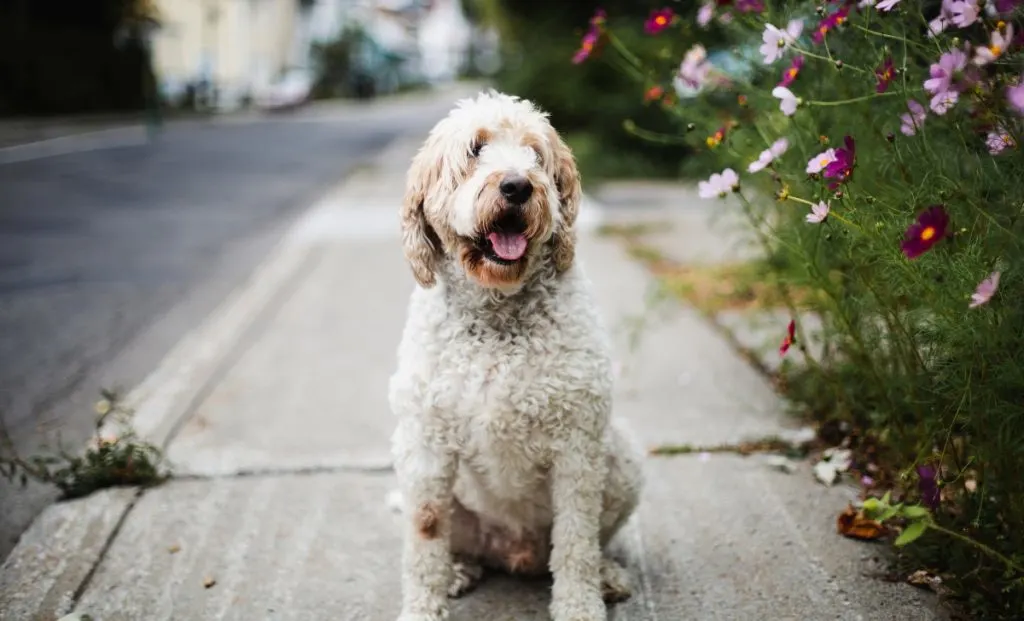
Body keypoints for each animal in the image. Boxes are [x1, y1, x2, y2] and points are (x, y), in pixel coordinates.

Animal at [387, 91, 643, 621]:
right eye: (474, 149)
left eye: (535, 154)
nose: (517, 185)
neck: (497, 313)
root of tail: (515, 552)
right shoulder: (424, 445)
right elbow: (425, 534)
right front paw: (424, 605)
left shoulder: (577, 446)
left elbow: (576, 539)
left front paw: (579, 605)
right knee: (456, 543)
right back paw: (457, 570)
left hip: (623, 458)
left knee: (591, 540)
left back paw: (606, 574)